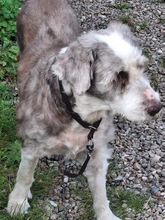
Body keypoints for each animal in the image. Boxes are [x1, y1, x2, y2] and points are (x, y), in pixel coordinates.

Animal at [7, 0, 162, 220]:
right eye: (119, 76)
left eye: (143, 67)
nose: (157, 107)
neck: (81, 115)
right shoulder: (31, 145)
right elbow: (24, 175)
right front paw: (18, 202)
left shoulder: (96, 154)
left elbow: (101, 194)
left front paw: (106, 215)